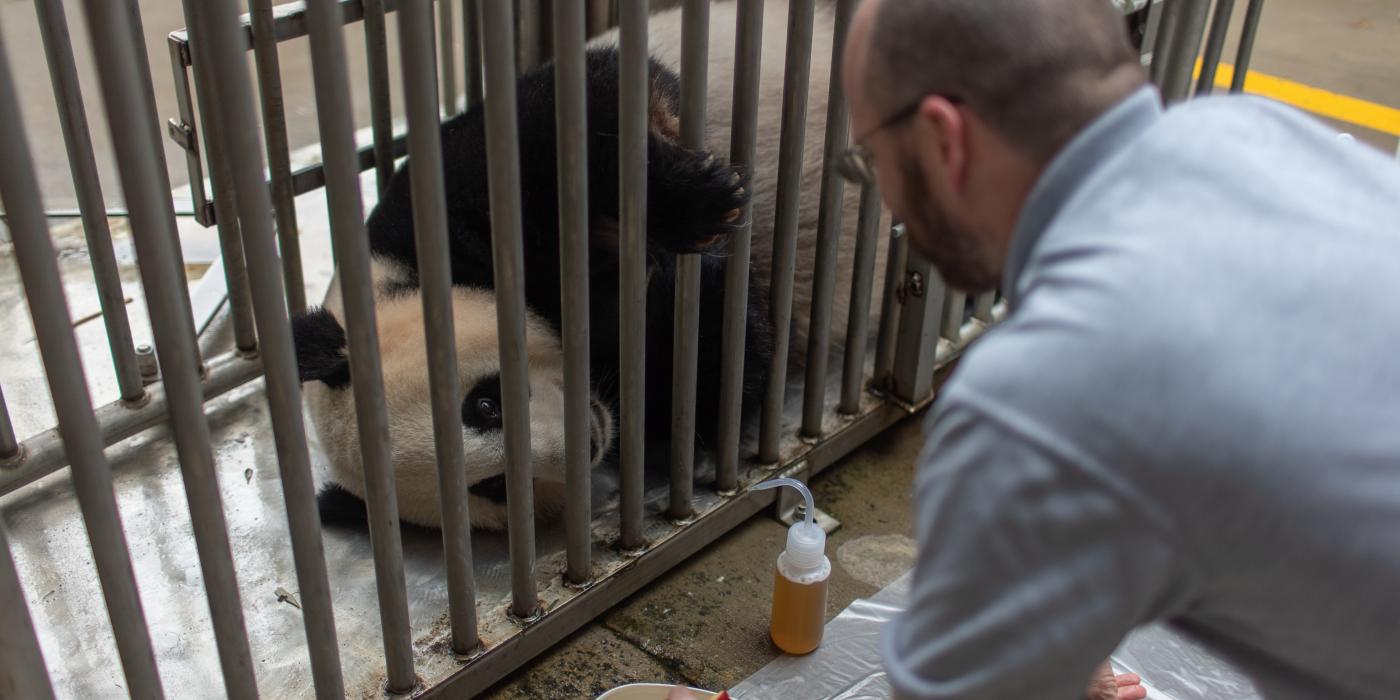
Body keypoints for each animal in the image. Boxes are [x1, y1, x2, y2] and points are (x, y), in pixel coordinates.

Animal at [294, 0, 884, 532]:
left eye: (483, 405)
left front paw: (696, 205)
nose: (587, 441)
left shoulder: (443, 196)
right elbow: (705, 367)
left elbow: (582, 111)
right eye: (494, 487)